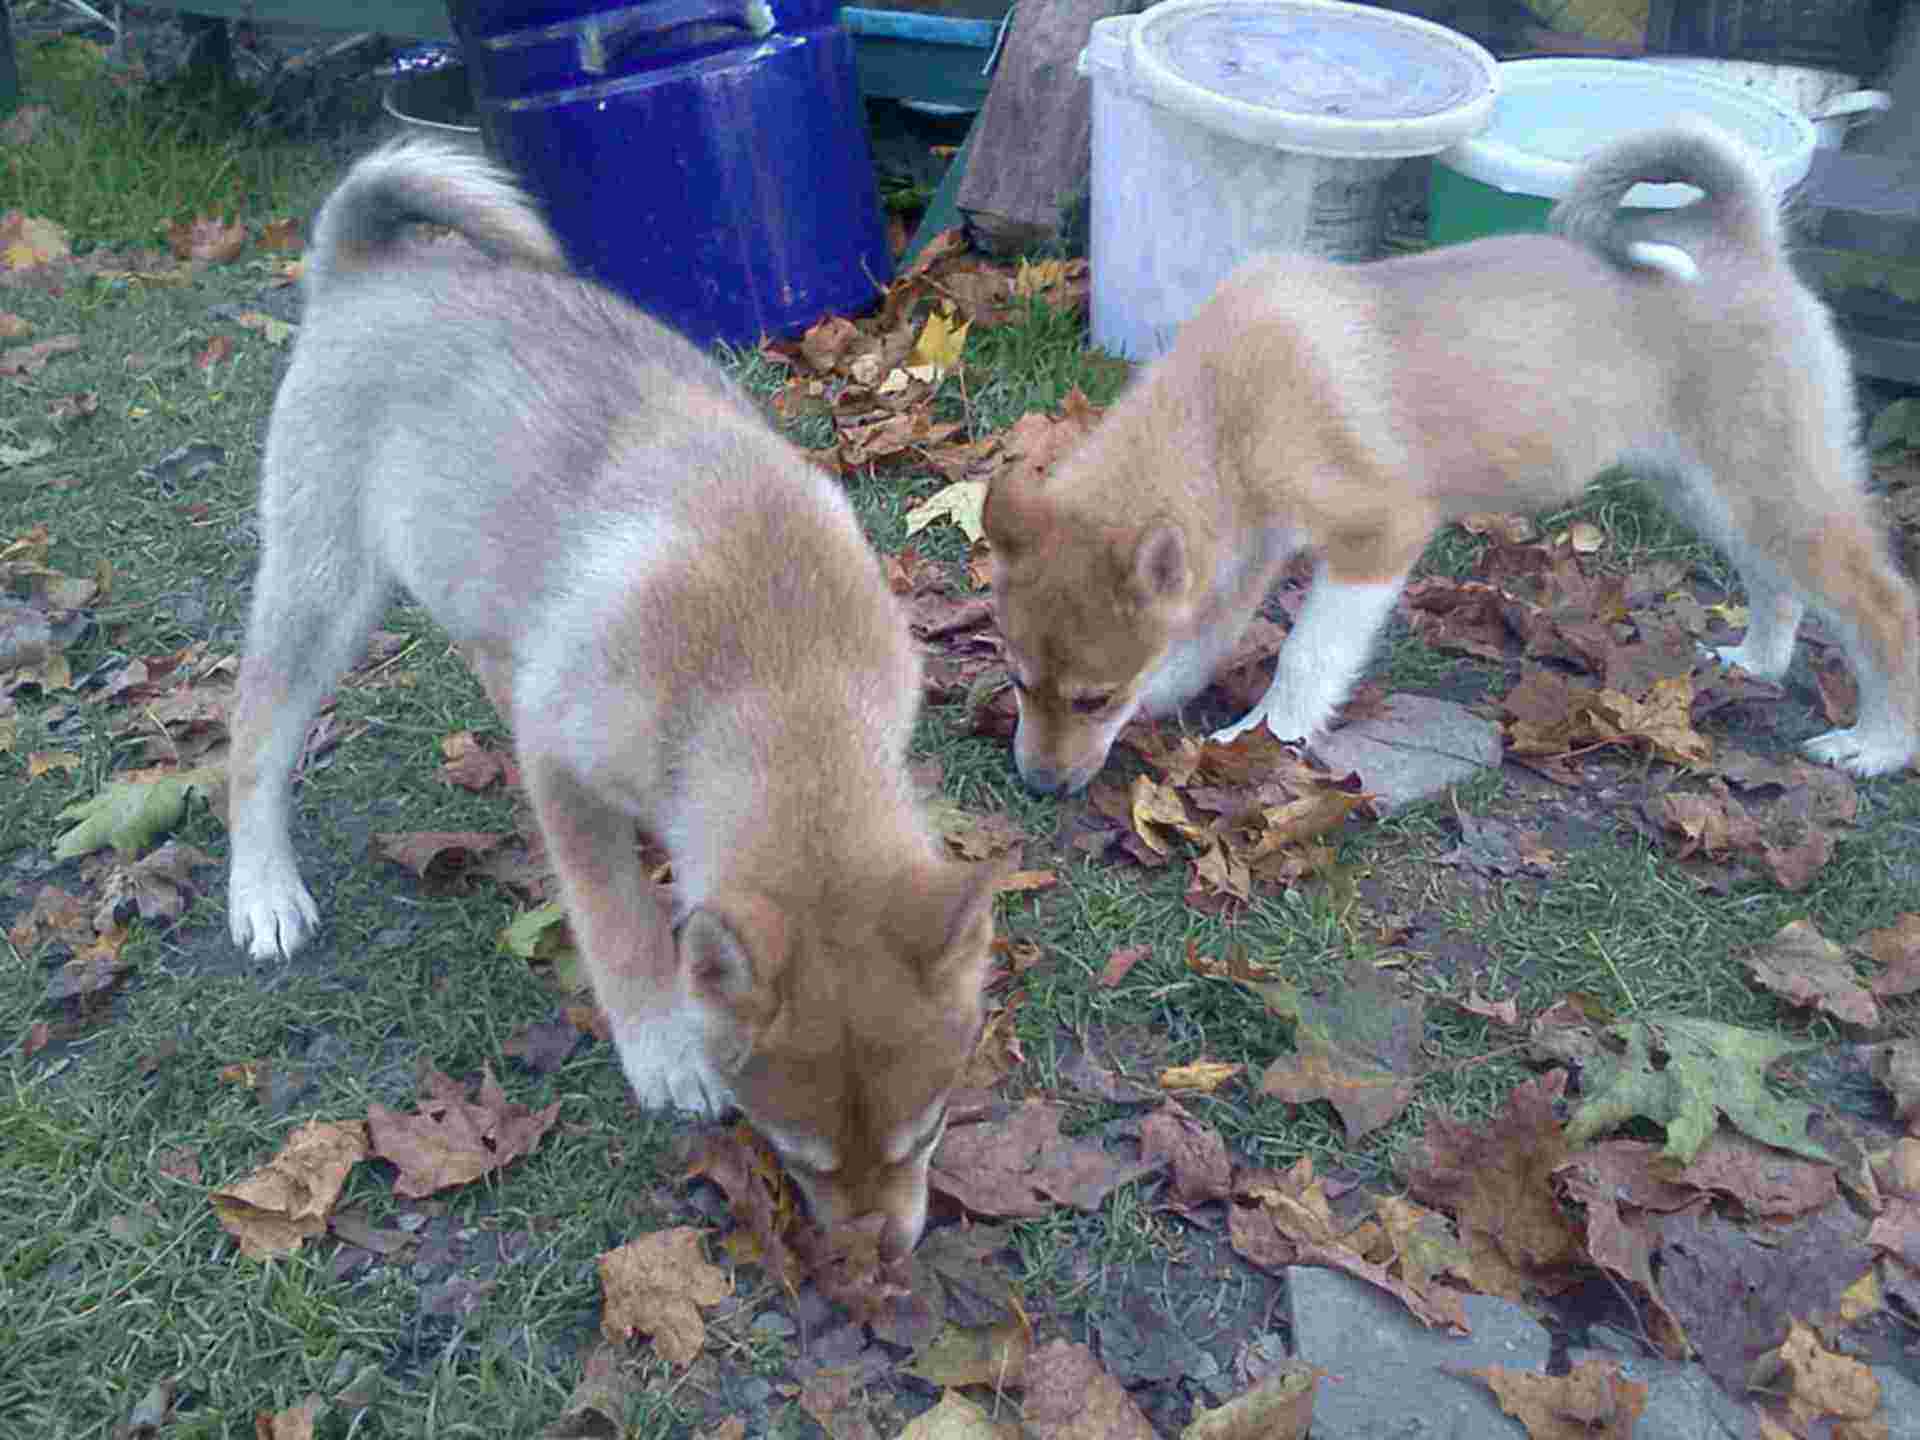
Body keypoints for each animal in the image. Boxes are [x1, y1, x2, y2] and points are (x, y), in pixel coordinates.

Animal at [226, 141, 998, 1259]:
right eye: (798, 1154)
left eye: (927, 1132)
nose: (877, 1258)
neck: (781, 686)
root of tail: (366, 266)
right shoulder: (568, 777)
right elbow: (621, 921)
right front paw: (662, 1046)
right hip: (321, 597)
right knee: (252, 745)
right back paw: (262, 893)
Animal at [990, 123, 1920, 794]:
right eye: (1019, 680)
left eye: (1093, 698)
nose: (1039, 788)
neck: (1224, 405)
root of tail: (1745, 239)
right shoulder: (1248, 546)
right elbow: (1205, 636)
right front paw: (1178, 695)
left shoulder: (1380, 536)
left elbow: (1305, 656)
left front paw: (1266, 736)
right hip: (1711, 493)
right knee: (1781, 588)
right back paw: (1757, 663)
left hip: (1772, 489)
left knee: (1883, 608)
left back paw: (1875, 746)